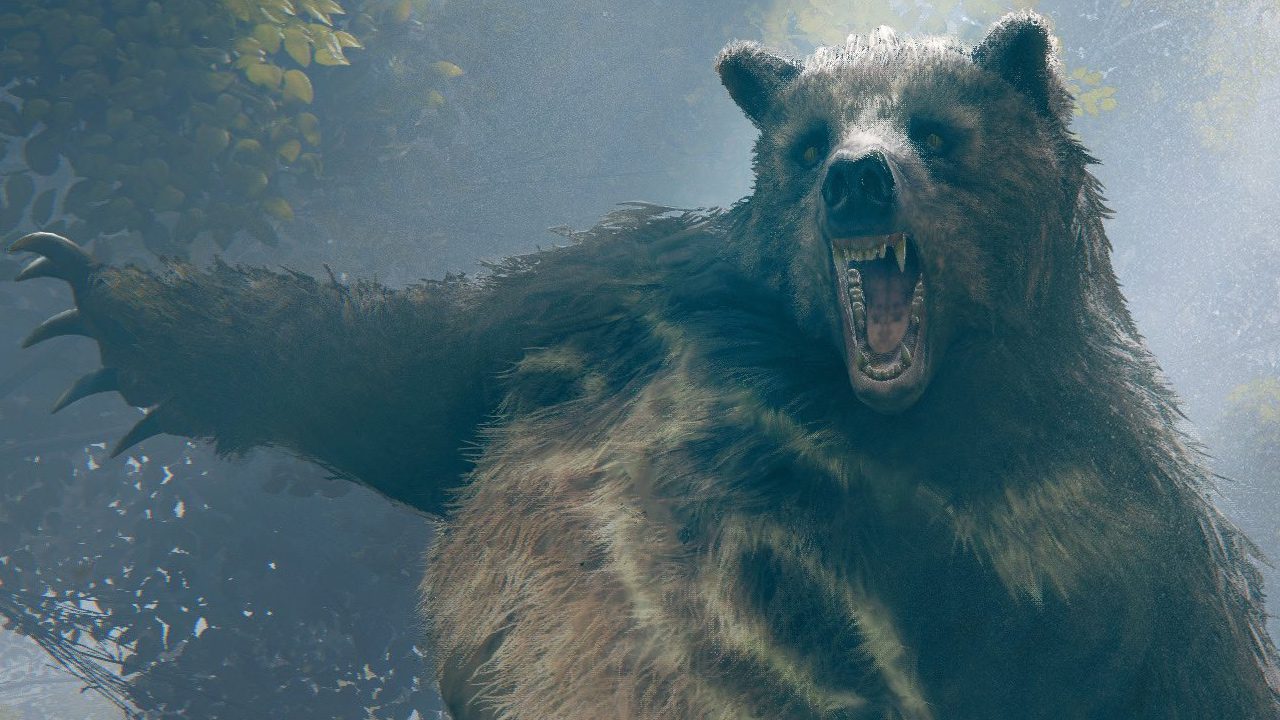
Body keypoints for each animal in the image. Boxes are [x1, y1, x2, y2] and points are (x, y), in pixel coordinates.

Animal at [11, 10, 1280, 719]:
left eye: (933, 129)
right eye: (810, 138)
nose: (855, 182)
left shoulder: (1094, 525)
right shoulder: (635, 293)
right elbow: (406, 364)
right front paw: (91, 299)